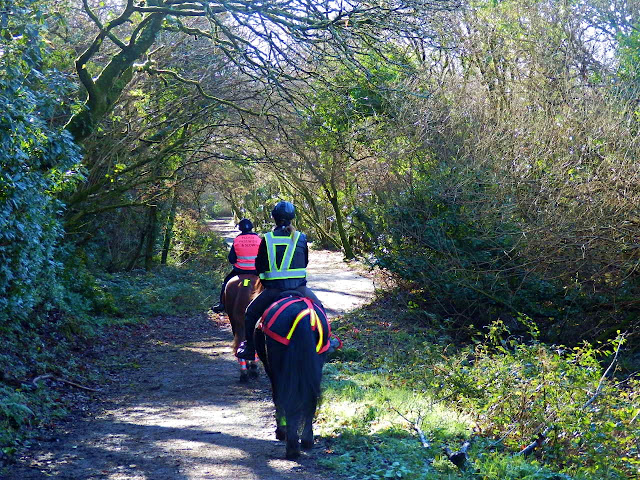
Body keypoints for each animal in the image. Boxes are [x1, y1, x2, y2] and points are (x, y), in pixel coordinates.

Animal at [255, 294, 330, 460]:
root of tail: (304, 315)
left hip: (278, 369)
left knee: (287, 400)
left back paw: (291, 446)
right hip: (316, 366)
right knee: (310, 400)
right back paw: (307, 440)